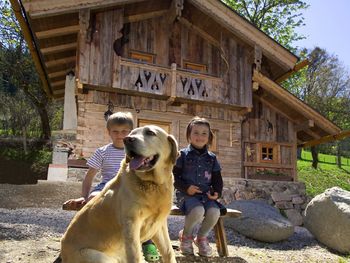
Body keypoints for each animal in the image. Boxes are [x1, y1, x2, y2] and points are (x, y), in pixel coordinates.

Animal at [59, 126, 178, 263]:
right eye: (131, 133)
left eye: (150, 132)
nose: (127, 139)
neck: (153, 183)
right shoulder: (131, 225)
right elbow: (135, 256)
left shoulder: (159, 225)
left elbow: (168, 252)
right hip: (96, 256)